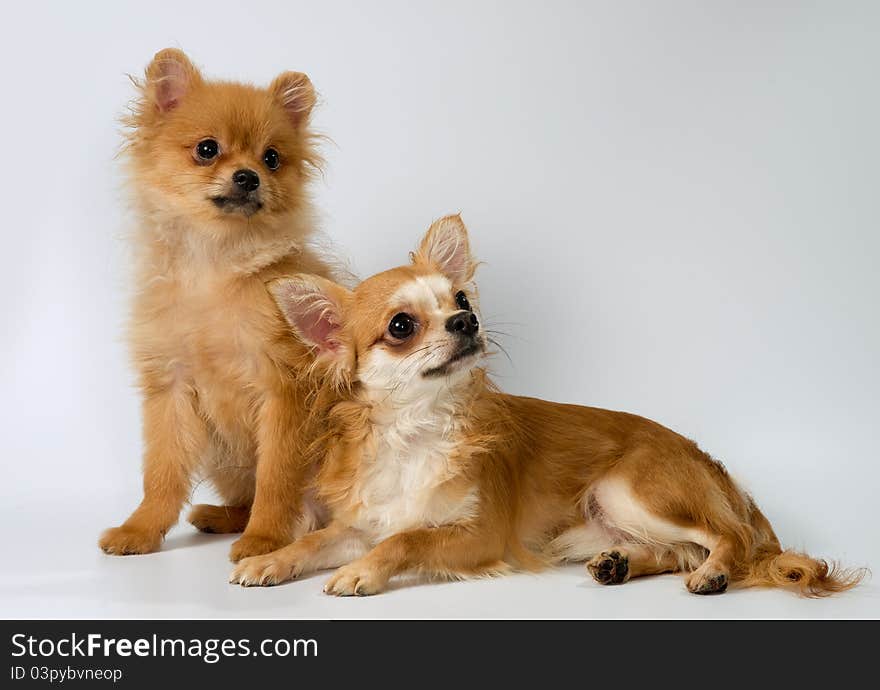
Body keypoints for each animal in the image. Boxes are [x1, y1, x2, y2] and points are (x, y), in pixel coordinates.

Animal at [100, 48, 336, 560]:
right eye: (207, 149)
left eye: (272, 158)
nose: (248, 176)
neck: (216, 264)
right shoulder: (170, 390)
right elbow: (161, 474)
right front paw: (141, 530)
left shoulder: (283, 391)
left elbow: (276, 480)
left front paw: (265, 539)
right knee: (241, 497)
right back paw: (220, 516)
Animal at [229, 214, 868, 592]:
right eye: (401, 326)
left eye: (461, 300)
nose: (467, 321)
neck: (417, 428)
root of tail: (716, 470)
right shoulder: (362, 522)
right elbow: (316, 539)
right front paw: (268, 560)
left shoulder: (478, 535)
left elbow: (408, 540)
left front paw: (360, 570)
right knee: (679, 549)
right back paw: (621, 564)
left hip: (628, 488)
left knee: (727, 540)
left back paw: (712, 573)